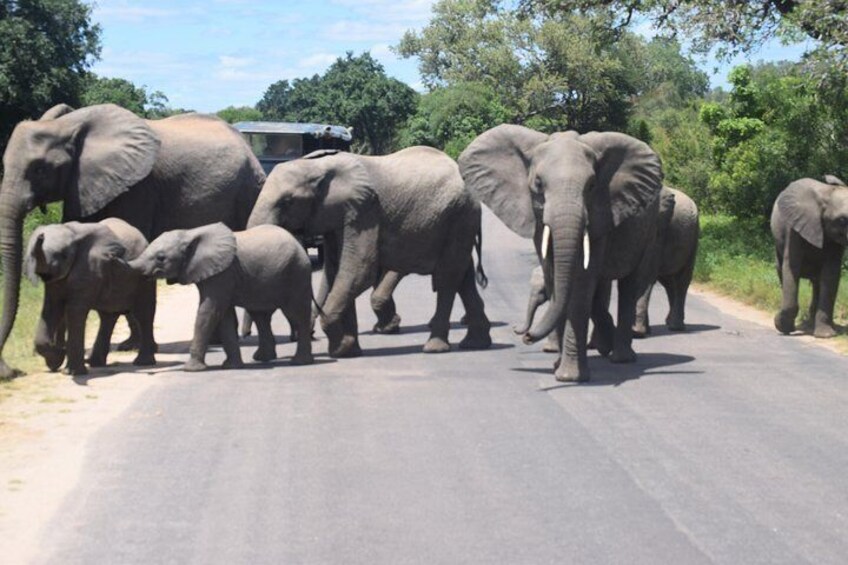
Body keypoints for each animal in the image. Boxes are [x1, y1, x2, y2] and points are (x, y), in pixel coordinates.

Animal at [25, 218, 156, 375]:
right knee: (107, 316)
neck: (71, 232)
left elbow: (75, 311)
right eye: (33, 254)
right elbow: (51, 307)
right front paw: (56, 359)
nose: (41, 236)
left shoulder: (89, 267)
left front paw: (72, 371)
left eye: (63, 255)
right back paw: (95, 363)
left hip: (144, 277)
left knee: (143, 313)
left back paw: (142, 362)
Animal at [129, 223, 314, 371]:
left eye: (161, 258)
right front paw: (231, 366)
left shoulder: (222, 274)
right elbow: (223, 316)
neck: (190, 234)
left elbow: (209, 311)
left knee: (298, 314)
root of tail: (298, 243)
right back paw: (263, 358)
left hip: (297, 272)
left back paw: (300, 362)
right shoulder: (217, 274)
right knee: (261, 317)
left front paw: (191, 370)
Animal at [246, 147, 492, 358]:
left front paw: (340, 348)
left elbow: (358, 270)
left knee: (447, 279)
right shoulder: (339, 217)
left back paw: (434, 348)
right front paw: (348, 351)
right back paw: (475, 344)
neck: (319, 167)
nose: (310, 332)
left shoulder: (364, 211)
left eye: (287, 202)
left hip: (460, 216)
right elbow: (337, 272)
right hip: (458, 220)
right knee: (463, 277)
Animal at [459, 125, 663, 382]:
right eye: (538, 183)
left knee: (629, 285)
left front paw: (569, 377)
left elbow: (581, 285)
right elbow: (554, 276)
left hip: (649, 229)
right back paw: (605, 347)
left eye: (592, 186)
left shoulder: (600, 213)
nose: (525, 336)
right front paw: (557, 367)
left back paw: (621, 359)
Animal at [770, 175, 848, 338]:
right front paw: (783, 327)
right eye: (842, 220)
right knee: (781, 271)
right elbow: (792, 266)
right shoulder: (794, 228)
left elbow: (831, 274)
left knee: (818, 282)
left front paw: (826, 335)